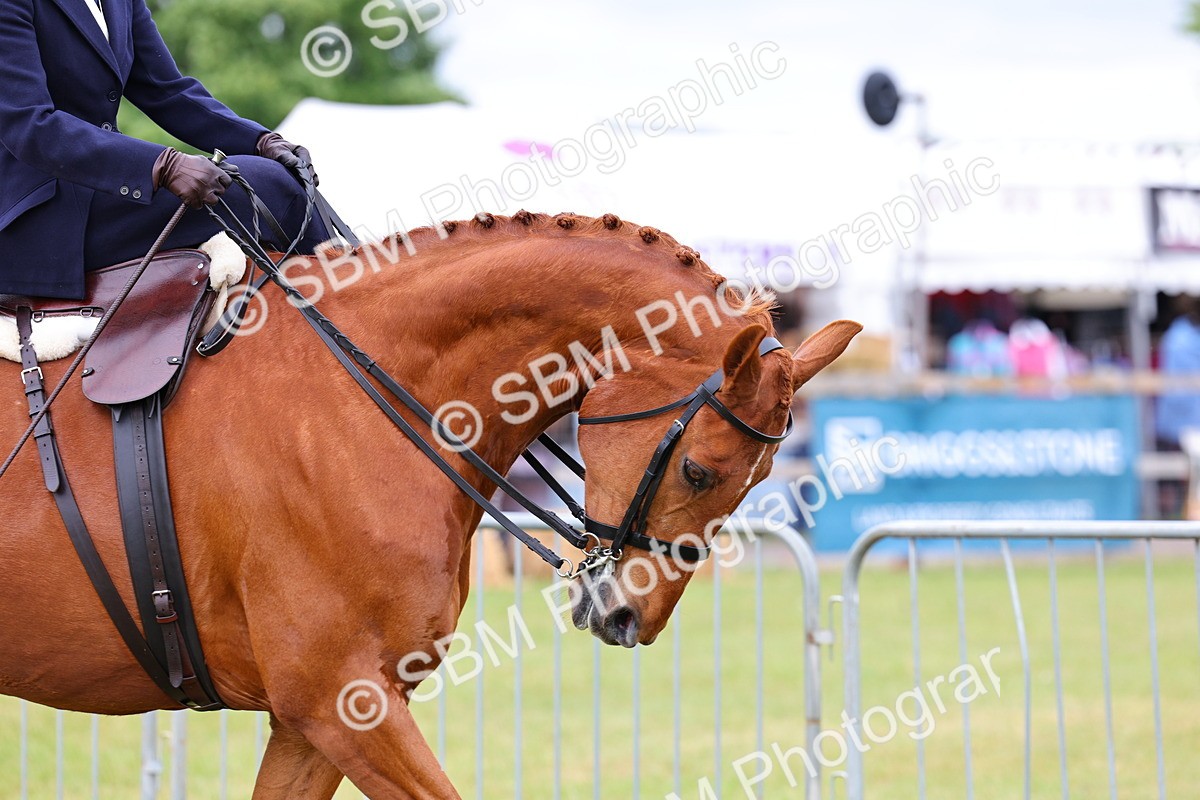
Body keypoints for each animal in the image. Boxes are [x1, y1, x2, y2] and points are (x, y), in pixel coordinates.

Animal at [0, 210, 860, 799]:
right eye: (700, 472)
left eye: (756, 481)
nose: (630, 619)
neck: (353, 397)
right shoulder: (340, 699)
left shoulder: (313, 721)